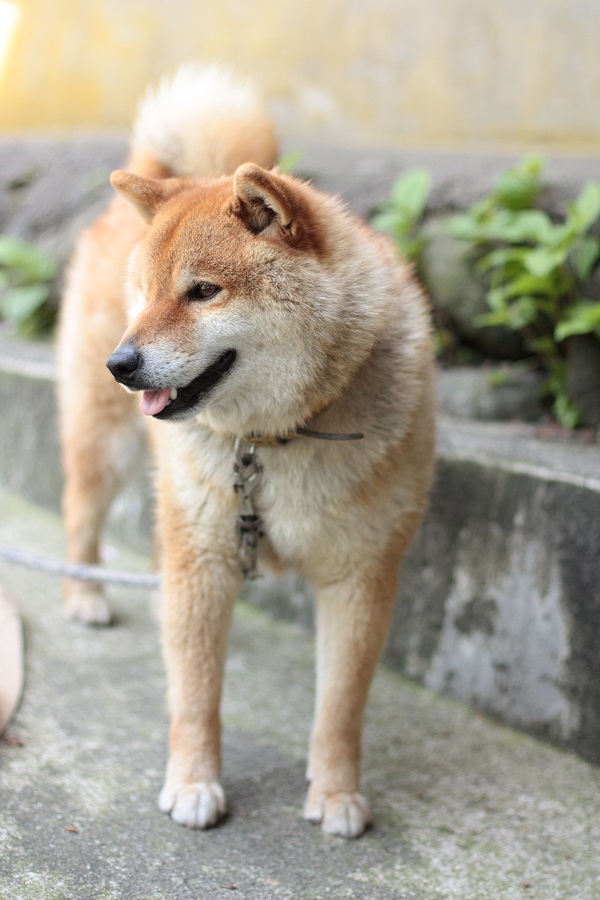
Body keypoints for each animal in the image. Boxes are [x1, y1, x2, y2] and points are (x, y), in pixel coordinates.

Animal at [57, 67, 436, 840]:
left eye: (203, 291)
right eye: (144, 294)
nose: (122, 362)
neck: (273, 437)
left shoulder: (361, 574)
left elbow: (340, 704)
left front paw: (337, 793)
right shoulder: (202, 560)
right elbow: (196, 691)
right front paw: (194, 782)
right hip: (105, 446)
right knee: (79, 512)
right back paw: (84, 596)